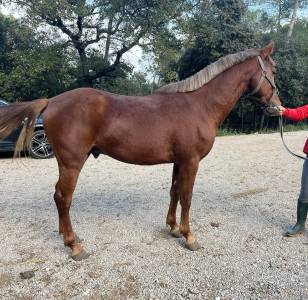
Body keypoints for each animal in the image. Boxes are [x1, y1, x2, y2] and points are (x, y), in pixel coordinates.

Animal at [0, 42, 280, 260]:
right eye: (274, 70)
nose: (277, 106)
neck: (200, 105)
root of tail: (52, 101)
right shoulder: (191, 161)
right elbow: (187, 197)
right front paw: (189, 236)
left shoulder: (179, 161)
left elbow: (174, 192)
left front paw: (173, 228)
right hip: (72, 162)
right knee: (63, 197)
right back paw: (74, 246)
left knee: (59, 197)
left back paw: (68, 236)